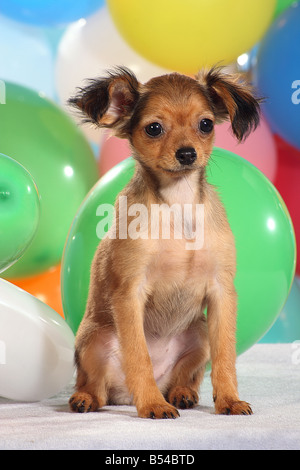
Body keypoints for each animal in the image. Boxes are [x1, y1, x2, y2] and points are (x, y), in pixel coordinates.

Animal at [68, 66, 260, 418]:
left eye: (206, 124)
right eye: (154, 128)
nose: (187, 154)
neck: (177, 204)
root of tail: (123, 396)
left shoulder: (222, 293)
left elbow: (225, 356)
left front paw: (229, 400)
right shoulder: (129, 293)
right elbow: (139, 355)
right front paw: (153, 405)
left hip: (199, 333)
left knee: (187, 377)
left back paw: (182, 394)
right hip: (92, 338)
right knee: (94, 385)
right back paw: (88, 399)